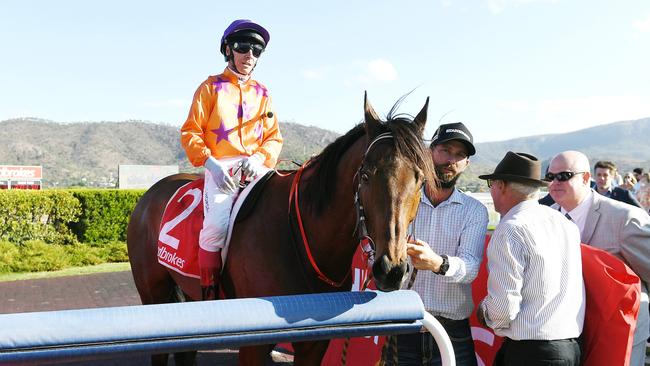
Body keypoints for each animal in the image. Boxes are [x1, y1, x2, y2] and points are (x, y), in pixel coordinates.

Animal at [126, 95, 436, 366]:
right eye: (366, 175)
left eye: (420, 180)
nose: (392, 269)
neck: (302, 234)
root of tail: (149, 194)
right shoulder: (254, 342)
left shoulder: (315, 342)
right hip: (153, 294)